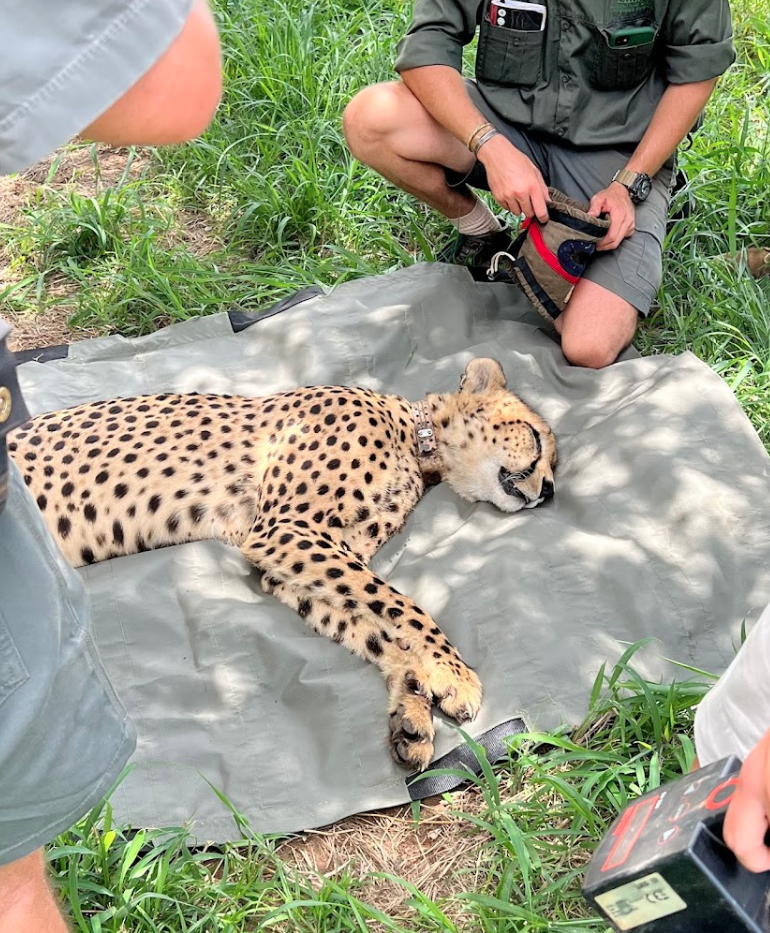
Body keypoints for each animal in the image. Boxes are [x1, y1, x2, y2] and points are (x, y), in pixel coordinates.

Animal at [8, 357, 557, 770]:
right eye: (536, 437)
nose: (550, 491)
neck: (415, 441)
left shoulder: (290, 562)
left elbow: (371, 624)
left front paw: (412, 706)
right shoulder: (285, 530)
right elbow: (402, 606)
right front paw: (453, 672)